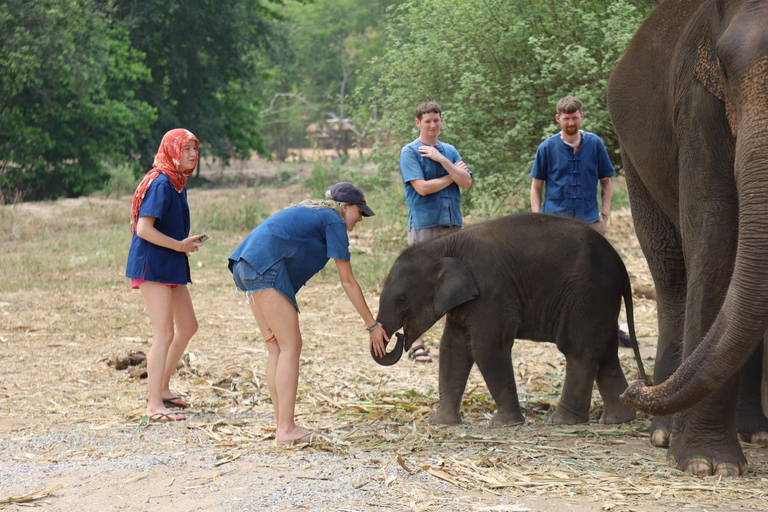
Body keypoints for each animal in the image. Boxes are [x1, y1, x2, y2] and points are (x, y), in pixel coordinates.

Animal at [372, 212, 648, 424]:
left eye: (402, 299)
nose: (397, 336)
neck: (444, 244)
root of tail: (619, 262)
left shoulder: (491, 291)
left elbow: (486, 348)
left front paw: (505, 424)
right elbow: (453, 348)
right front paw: (440, 422)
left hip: (588, 294)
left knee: (578, 350)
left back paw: (562, 421)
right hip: (601, 300)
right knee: (606, 353)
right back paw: (618, 419)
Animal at [608, 0, 768, 476]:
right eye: (727, 67)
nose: (634, 389)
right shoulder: (698, 102)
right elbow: (715, 228)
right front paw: (707, 464)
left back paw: (755, 432)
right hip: (633, 158)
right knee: (672, 272)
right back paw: (664, 433)